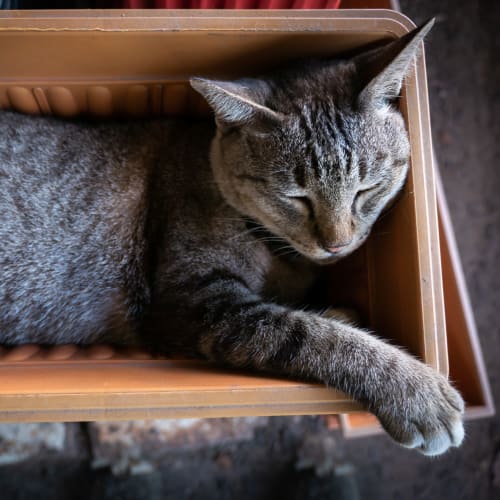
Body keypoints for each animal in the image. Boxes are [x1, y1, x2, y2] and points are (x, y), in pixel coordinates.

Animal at [0, 19, 464, 456]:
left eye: (367, 189)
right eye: (296, 197)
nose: (337, 244)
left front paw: (338, 312)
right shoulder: (196, 301)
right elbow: (312, 335)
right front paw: (416, 393)